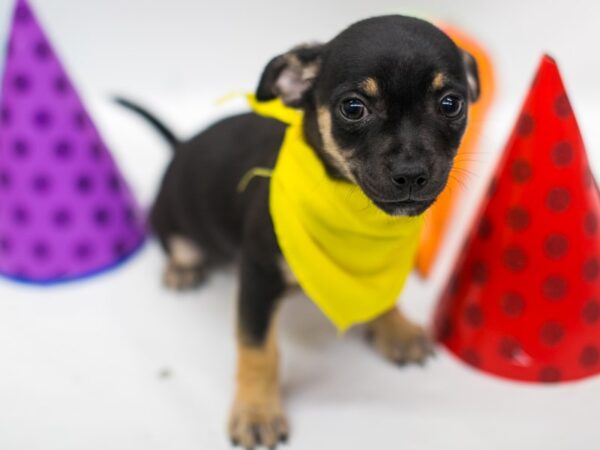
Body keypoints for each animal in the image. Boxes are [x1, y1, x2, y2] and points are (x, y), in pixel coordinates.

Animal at [119, 15, 480, 448]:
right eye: (353, 108)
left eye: (451, 103)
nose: (411, 174)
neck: (353, 212)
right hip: (174, 224)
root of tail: (181, 146)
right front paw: (256, 412)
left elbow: (382, 294)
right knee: (179, 246)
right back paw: (182, 269)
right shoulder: (258, 278)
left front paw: (396, 330)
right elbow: (257, 351)